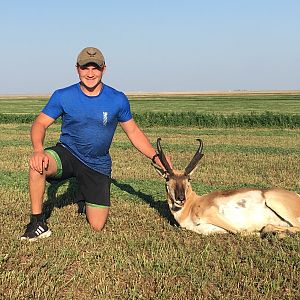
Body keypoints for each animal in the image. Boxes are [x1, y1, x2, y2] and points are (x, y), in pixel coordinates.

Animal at [152, 137, 300, 238]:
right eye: (167, 178)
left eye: (188, 179)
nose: (180, 198)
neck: (193, 204)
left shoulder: (213, 213)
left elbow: (241, 232)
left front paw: (258, 233)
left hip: (273, 201)